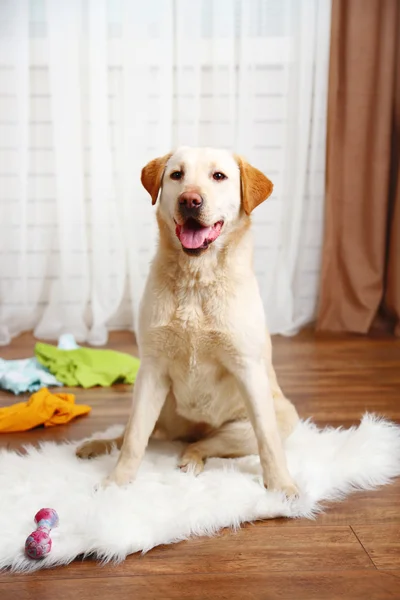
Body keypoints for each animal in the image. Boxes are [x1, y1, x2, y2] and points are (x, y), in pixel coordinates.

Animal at [76, 145, 298, 496]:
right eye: (176, 175)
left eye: (219, 176)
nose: (190, 200)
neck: (197, 280)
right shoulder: (151, 369)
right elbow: (135, 439)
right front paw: (117, 482)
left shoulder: (248, 370)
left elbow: (268, 440)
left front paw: (280, 485)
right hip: (156, 404)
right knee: (131, 433)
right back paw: (98, 445)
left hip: (271, 419)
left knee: (205, 445)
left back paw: (191, 459)